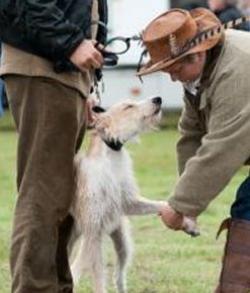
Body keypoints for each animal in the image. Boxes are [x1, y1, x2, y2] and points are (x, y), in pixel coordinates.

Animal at [69, 97, 198, 292]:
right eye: (128, 106)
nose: (158, 99)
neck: (111, 156)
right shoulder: (93, 230)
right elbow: (96, 278)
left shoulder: (129, 203)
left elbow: (160, 204)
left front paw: (186, 223)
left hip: (121, 242)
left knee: (118, 275)